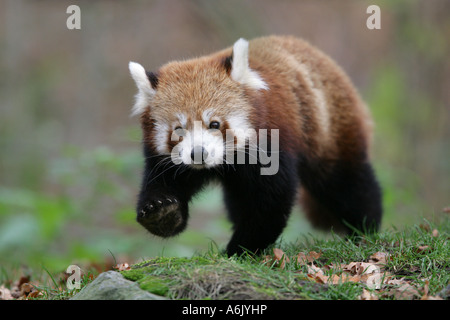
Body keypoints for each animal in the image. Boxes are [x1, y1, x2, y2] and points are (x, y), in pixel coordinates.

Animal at [128, 35, 382, 255]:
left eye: (214, 124)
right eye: (179, 130)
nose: (198, 153)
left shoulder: (272, 143)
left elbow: (270, 203)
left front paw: (240, 249)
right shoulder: (167, 162)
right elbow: (162, 183)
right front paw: (162, 212)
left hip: (328, 128)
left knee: (345, 183)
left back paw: (364, 229)